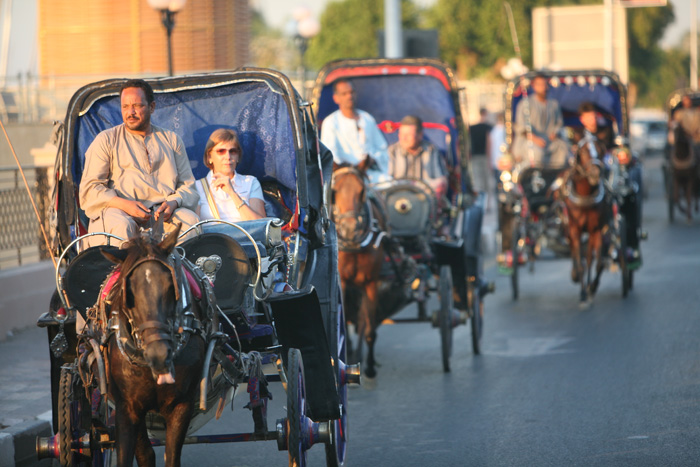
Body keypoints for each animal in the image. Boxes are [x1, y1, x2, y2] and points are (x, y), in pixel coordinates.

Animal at [100, 225, 211, 466]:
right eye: (128, 292)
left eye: (171, 286)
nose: (159, 355)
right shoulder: (127, 407)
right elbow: (136, 455)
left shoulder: (181, 404)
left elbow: (171, 456)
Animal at [560, 139, 608, 306]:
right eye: (583, 151)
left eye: (600, 150)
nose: (595, 173)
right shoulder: (574, 229)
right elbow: (580, 262)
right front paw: (582, 293)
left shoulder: (596, 229)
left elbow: (598, 262)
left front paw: (592, 287)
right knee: (576, 255)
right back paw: (576, 276)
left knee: (589, 258)